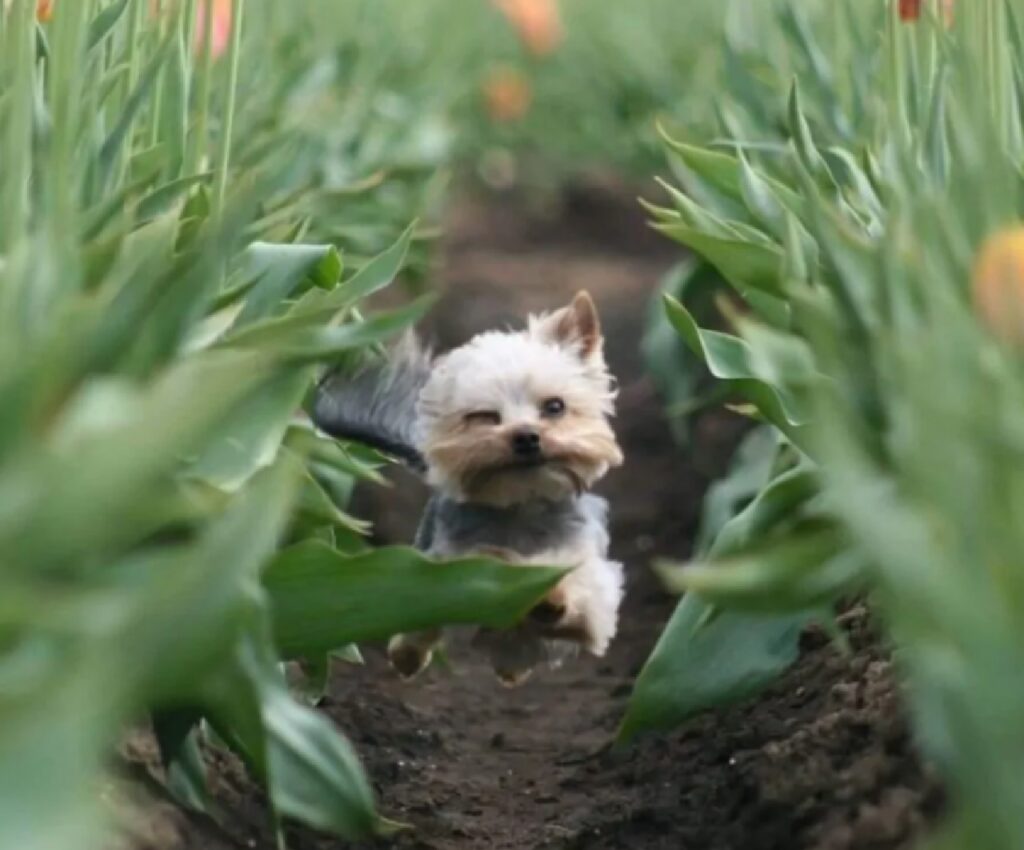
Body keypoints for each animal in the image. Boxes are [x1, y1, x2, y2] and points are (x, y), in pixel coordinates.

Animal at [311, 292, 622, 684]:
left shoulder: (591, 575)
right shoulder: (453, 567)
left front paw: (551, 596)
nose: (526, 437)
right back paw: (410, 656)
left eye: (555, 406)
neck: (521, 504)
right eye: (484, 416)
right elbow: (482, 568)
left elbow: (580, 593)